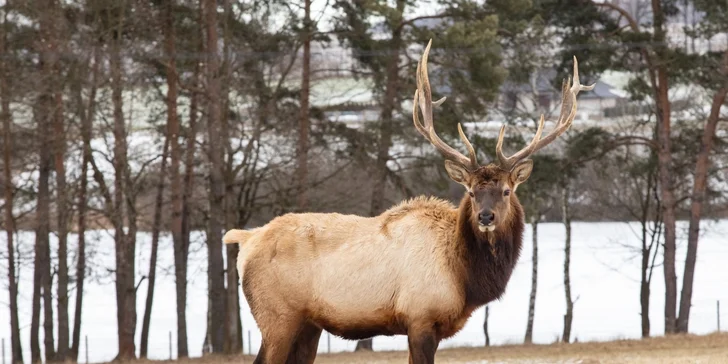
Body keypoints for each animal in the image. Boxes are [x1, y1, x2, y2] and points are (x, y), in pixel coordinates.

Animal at [225, 39, 596, 364]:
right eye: (471, 192)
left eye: (506, 190)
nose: (486, 217)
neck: (464, 277)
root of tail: (246, 240)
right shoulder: (421, 317)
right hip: (277, 316)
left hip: (307, 325)